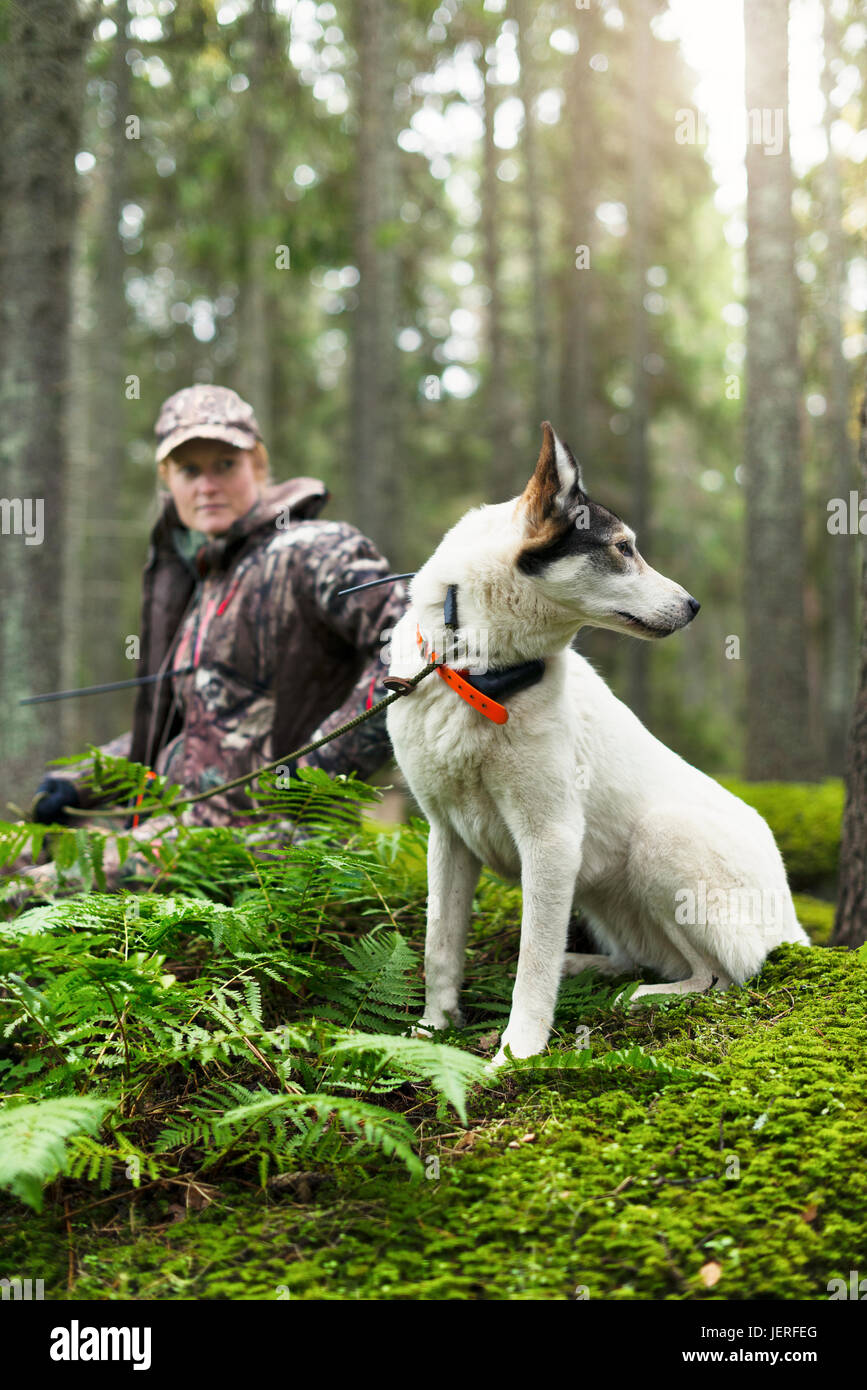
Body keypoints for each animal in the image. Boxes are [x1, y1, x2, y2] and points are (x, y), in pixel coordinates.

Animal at [386, 422, 805, 1061]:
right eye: (623, 548)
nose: (694, 606)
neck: (479, 677)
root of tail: (792, 922)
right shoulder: (447, 837)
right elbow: (440, 948)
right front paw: (435, 1027)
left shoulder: (551, 841)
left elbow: (530, 966)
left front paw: (517, 1053)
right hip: (604, 896)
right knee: (640, 958)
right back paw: (586, 967)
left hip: (661, 840)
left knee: (723, 976)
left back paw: (645, 995)